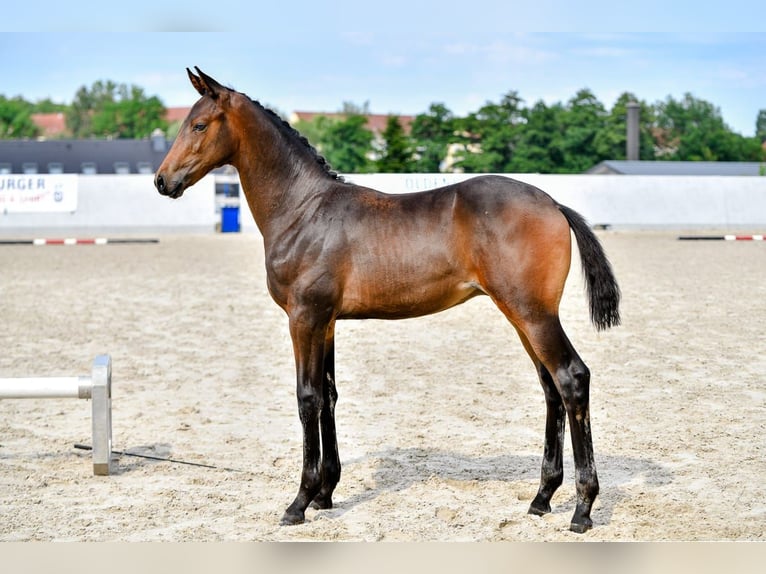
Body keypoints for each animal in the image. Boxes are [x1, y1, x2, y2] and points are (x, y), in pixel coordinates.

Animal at [158, 68, 624, 536]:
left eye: (199, 125)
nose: (163, 181)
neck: (302, 210)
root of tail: (554, 204)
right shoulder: (327, 322)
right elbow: (329, 395)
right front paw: (326, 493)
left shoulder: (304, 318)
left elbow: (307, 398)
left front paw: (300, 501)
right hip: (523, 316)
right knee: (550, 389)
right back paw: (542, 497)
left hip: (532, 315)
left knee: (571, 379)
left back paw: (582, 508)